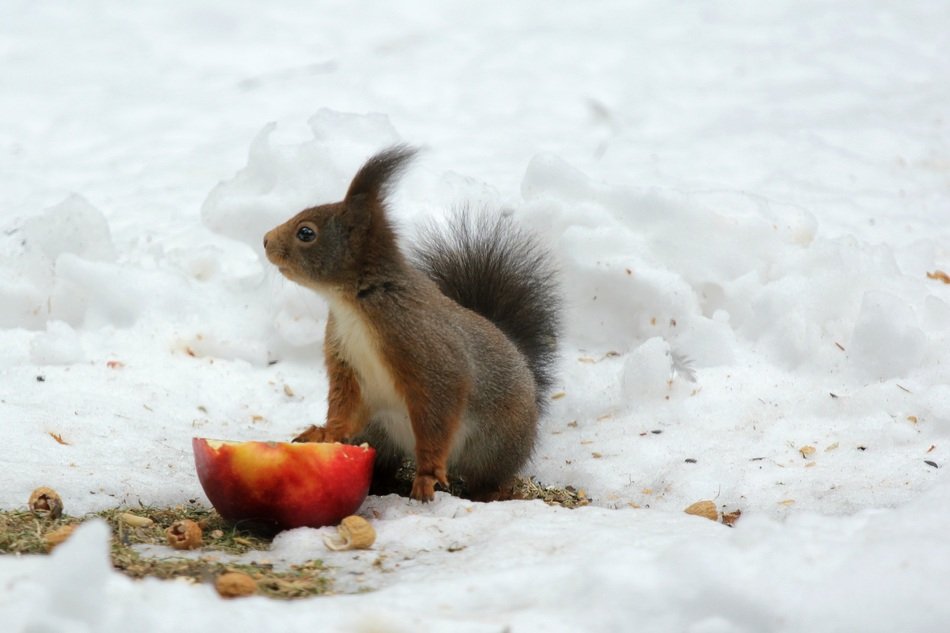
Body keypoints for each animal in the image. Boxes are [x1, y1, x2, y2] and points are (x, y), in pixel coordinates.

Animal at [262, 146, 560, 502]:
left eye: (306, 232)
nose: (265, 240)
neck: (353, 305)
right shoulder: (346, 362)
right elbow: (346, 406)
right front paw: (325, 433)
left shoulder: (427, 355)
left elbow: (438, 413)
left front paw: (427, 475)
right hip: (379, 432)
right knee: (382, 461)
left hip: (494, 445)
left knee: (487, 478)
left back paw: (491, 493)